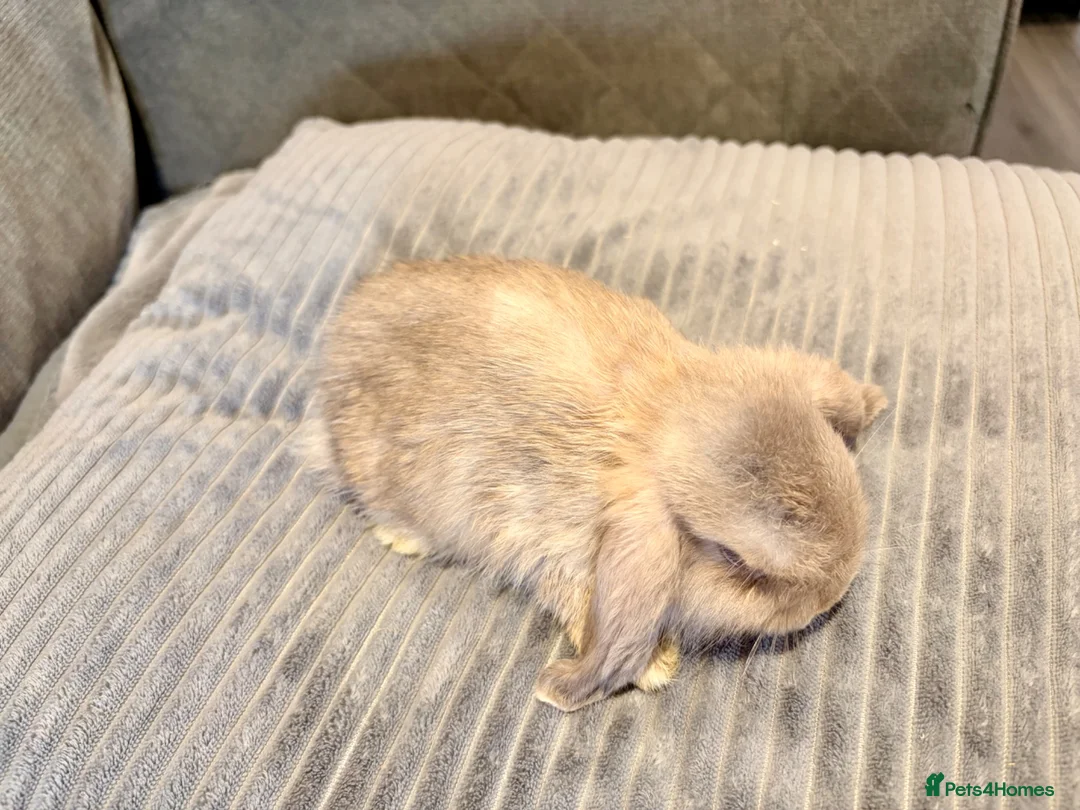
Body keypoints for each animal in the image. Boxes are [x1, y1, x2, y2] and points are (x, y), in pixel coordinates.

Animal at [311, 256, 887, 712]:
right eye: (736, 562)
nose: (830, 599)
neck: (660, 417)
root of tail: (339, 334)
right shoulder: (541, 537)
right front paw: (651, 668)